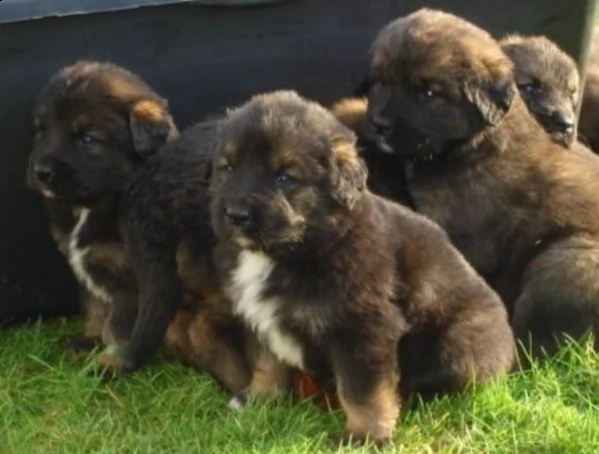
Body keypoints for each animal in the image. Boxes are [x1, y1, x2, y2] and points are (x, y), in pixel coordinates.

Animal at [210, 90, 516, 446]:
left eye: (284, 178)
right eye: (228, 168)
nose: (236, 214)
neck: (300, 245)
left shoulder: (363, 328)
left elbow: (362, 390)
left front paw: (364, 436)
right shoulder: (259, 315)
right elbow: (266, 362)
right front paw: (258, 401)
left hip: (458, 340)